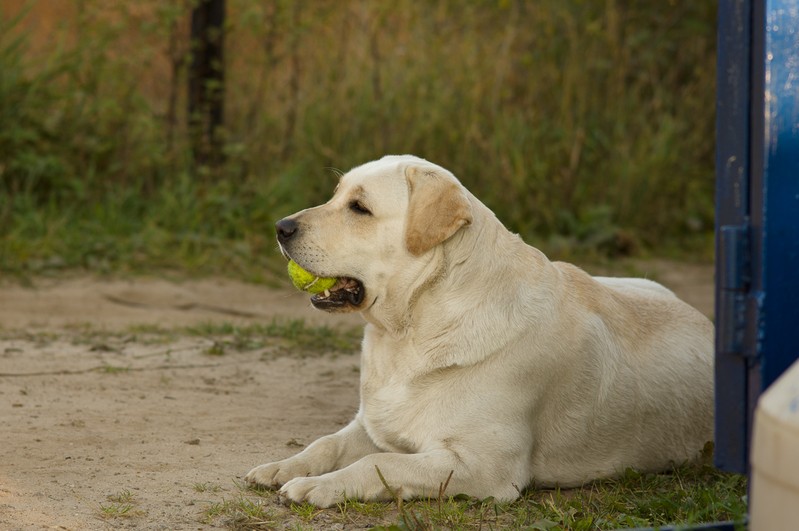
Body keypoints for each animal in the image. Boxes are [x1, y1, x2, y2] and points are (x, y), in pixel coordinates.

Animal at [244, 155, 712, 508]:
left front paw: (318, 486)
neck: (411, 329)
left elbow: (381, 465)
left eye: (359, 208)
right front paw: (282, 467)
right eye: (336, 195)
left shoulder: (484, 467)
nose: (281, 227)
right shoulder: (373, 425)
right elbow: (326, 444)